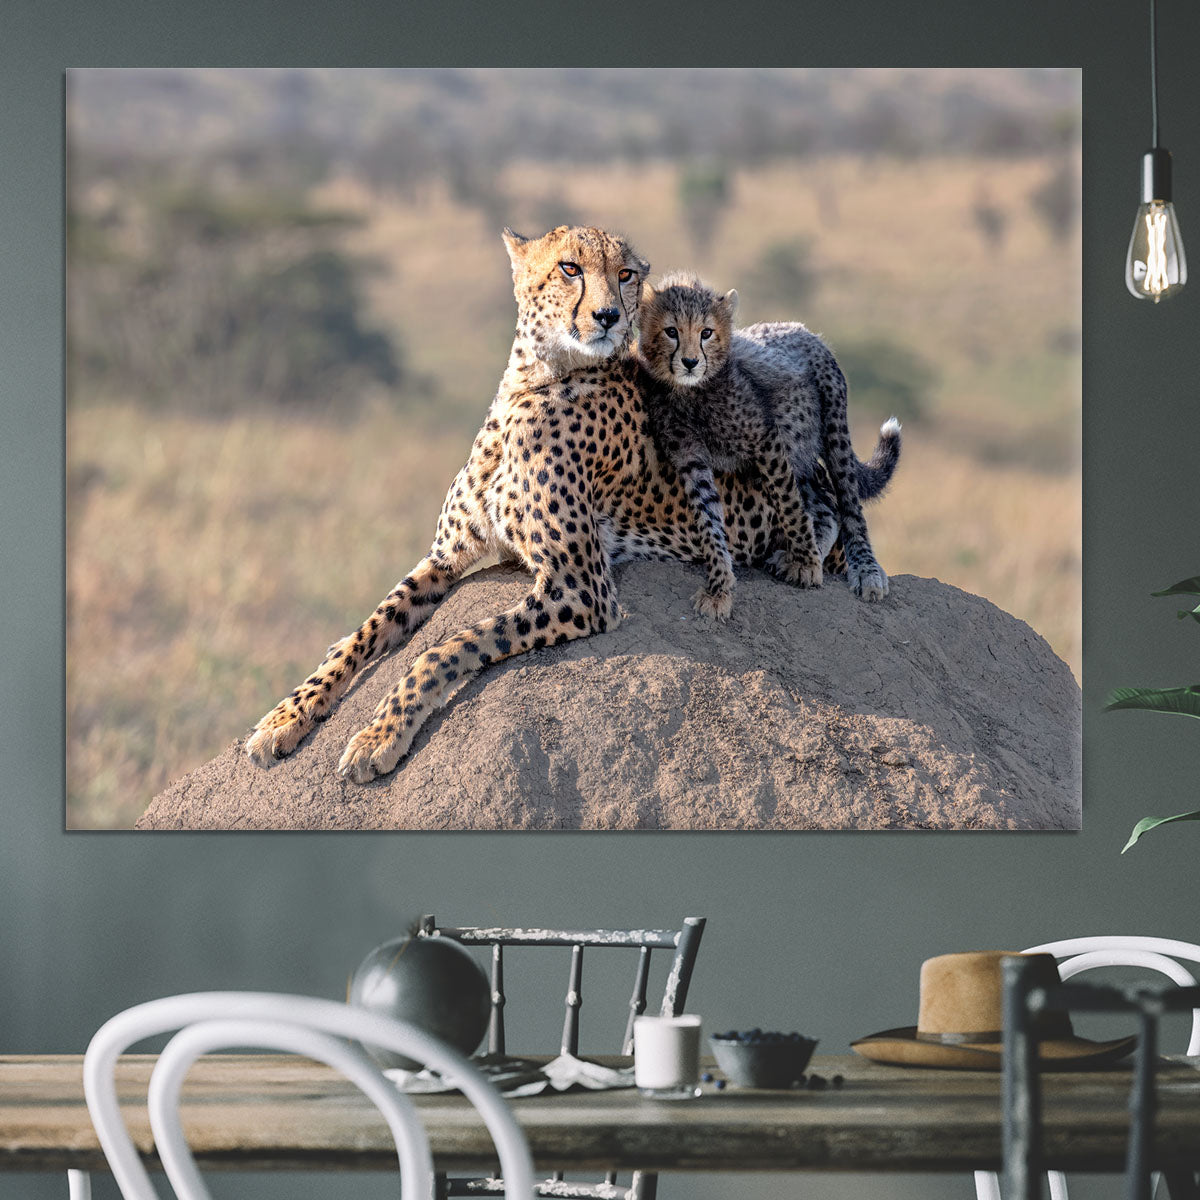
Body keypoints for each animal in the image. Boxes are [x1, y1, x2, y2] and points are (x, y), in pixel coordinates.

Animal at [245, 226, 799, 784]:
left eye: (626, 274)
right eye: (570, 268)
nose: (608, 315)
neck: (534, 380)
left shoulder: (582, 589)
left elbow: (449, 646)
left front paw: (380, 734)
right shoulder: (444, 559)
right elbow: (369, 628)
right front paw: (287, 715)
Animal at [637, 271, 901, 620]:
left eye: (706, 332)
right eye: (671, 331)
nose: (691, 361)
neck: (690, 392)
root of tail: (799, 327)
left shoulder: (766, 441)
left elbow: (790, 507)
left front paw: (807, 565)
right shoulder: (690, 459)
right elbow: (709, 522)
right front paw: (719, 590)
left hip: (831, 427)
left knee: (848, 502)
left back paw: (865, 570)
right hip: (798, 451)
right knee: (823, 504)